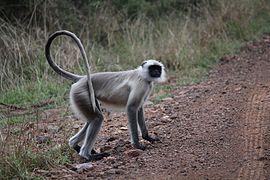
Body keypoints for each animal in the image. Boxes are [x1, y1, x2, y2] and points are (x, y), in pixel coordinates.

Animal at [45, 30, 166, 161]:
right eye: (152, 68)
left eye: (157, 68)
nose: (156, 72)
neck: (142, 75)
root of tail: (82, 79)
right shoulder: (141, 84)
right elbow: (132, 108)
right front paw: (137, 145)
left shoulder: (148, 86)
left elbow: (139, 108)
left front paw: (147, 137)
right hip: (81, 93)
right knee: (97, 119)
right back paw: (87, 155)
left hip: (86, 97)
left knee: (91, 120)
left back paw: (74, 145)